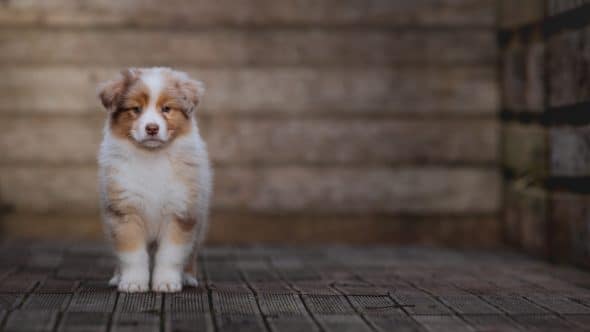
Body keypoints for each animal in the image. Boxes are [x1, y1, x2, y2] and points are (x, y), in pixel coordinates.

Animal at [98, 67, 214, 294]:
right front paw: (133, 282)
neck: (152, 157)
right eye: (136, 109)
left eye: (166, 109)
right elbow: (132, 254)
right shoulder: (125, 211)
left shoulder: (180, 212)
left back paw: (188, 276)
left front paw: (167, 282)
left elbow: (170, 254)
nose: (151, 128)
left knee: (192, 252)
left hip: (199, 218)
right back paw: (117, 276)